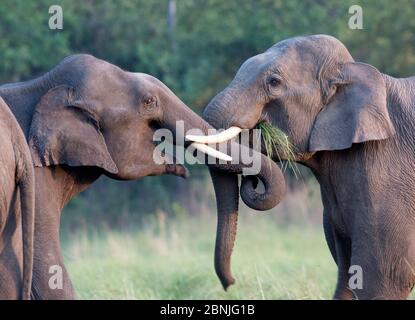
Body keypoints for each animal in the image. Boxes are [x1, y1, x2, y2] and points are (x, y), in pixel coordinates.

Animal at [203, 35, 415, 300]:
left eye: (274, 82)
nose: (230, 283)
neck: (350, 70)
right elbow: (346, 275)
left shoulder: (387, 182)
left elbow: (380, 281)